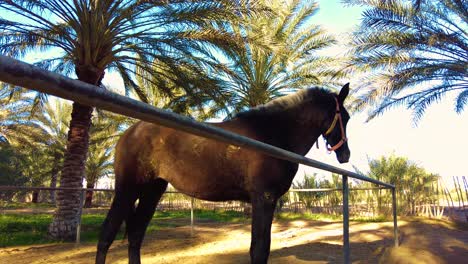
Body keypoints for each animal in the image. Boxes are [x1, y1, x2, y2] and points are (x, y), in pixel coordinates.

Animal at [96, 83, 352, 262]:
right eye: (345, 117)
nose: (345, 154)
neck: (271, 134)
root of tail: (129, 132)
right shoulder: (264, 199)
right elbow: (259, 250)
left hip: (152, 191)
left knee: (135, 235)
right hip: (127, 190)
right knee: (106, 235)